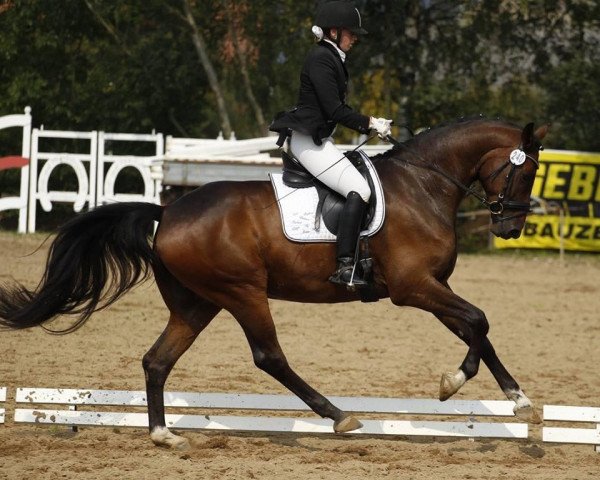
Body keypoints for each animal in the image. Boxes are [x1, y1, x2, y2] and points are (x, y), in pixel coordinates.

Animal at [0, 118, 548, 448]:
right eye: (525, 175)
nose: (510, 228)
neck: (424, 183)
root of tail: (168, 210)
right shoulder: (412, 287)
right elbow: (479, 320)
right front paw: (453, 383)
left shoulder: (432, 286)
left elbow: (476, 327)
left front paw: (518, 398)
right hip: (242, 292)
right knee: (269, 357)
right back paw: (339, 416)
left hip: (197, 303)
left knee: (157, 360)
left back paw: (163, 435)